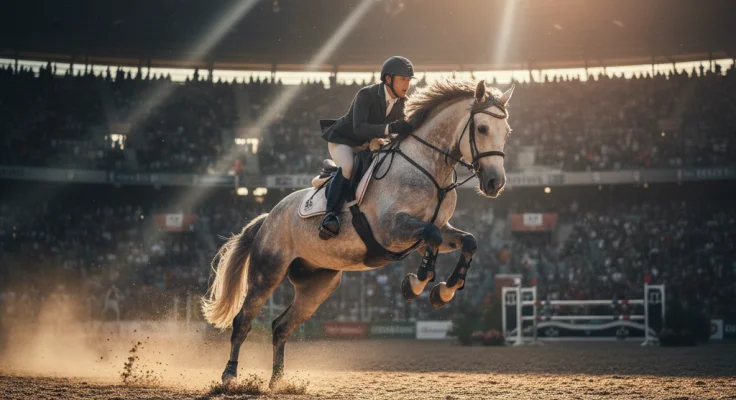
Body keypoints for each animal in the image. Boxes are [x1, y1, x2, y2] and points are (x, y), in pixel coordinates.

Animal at [202, 79, 514, 387]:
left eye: (507, 132)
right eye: (482, 128)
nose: (495, 183)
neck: (428, 167)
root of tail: (268, 218)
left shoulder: (436, 230)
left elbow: (468, 241)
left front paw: (444, 291)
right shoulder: (392, 230)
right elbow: (432, 239)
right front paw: (414, 285)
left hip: (318, 284)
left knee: (281, 327)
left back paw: (278, 382)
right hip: (267, 273)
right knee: (243, 320)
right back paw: (229, 375)